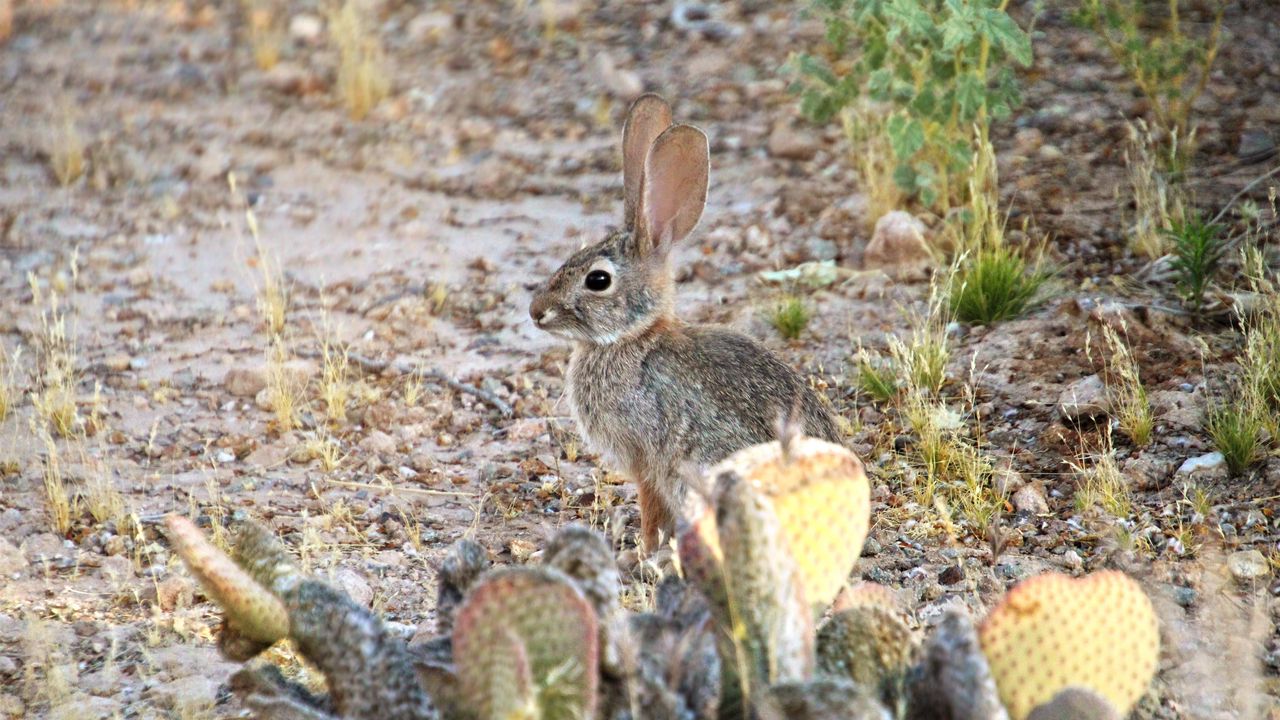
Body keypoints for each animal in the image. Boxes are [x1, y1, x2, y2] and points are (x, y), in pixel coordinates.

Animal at [527, 92, 839, 545]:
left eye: (597, 280)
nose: (536, 311)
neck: (633, 338)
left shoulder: (646, 457)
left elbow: (650, 506)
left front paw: (643, 547)